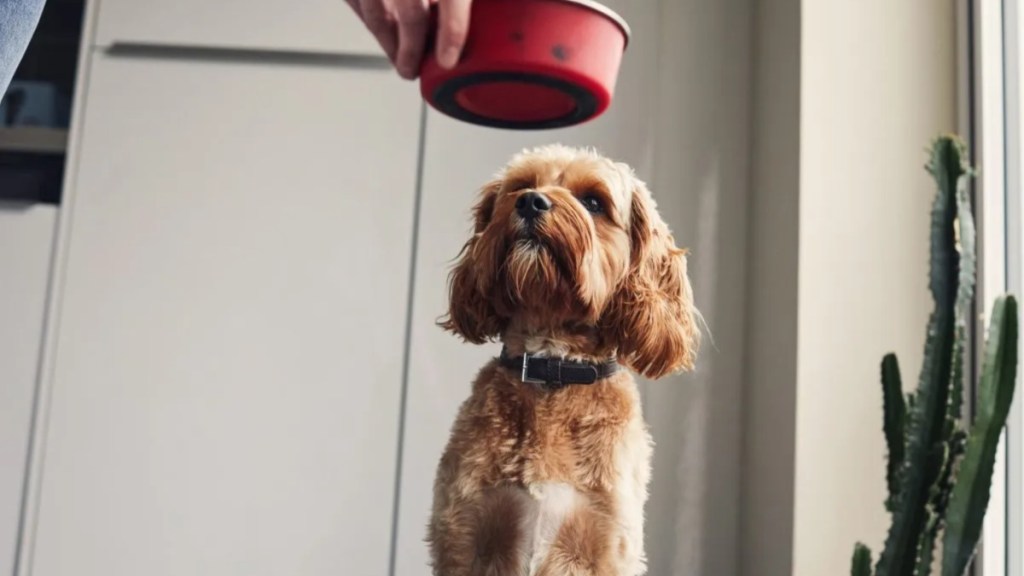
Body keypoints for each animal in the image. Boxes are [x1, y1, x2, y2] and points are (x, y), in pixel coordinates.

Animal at [428, 143, 700, 573]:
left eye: (593, 202)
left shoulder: (606, 542)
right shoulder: (464, 535)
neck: (553, 368)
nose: (530, 202)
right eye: (520, 185)